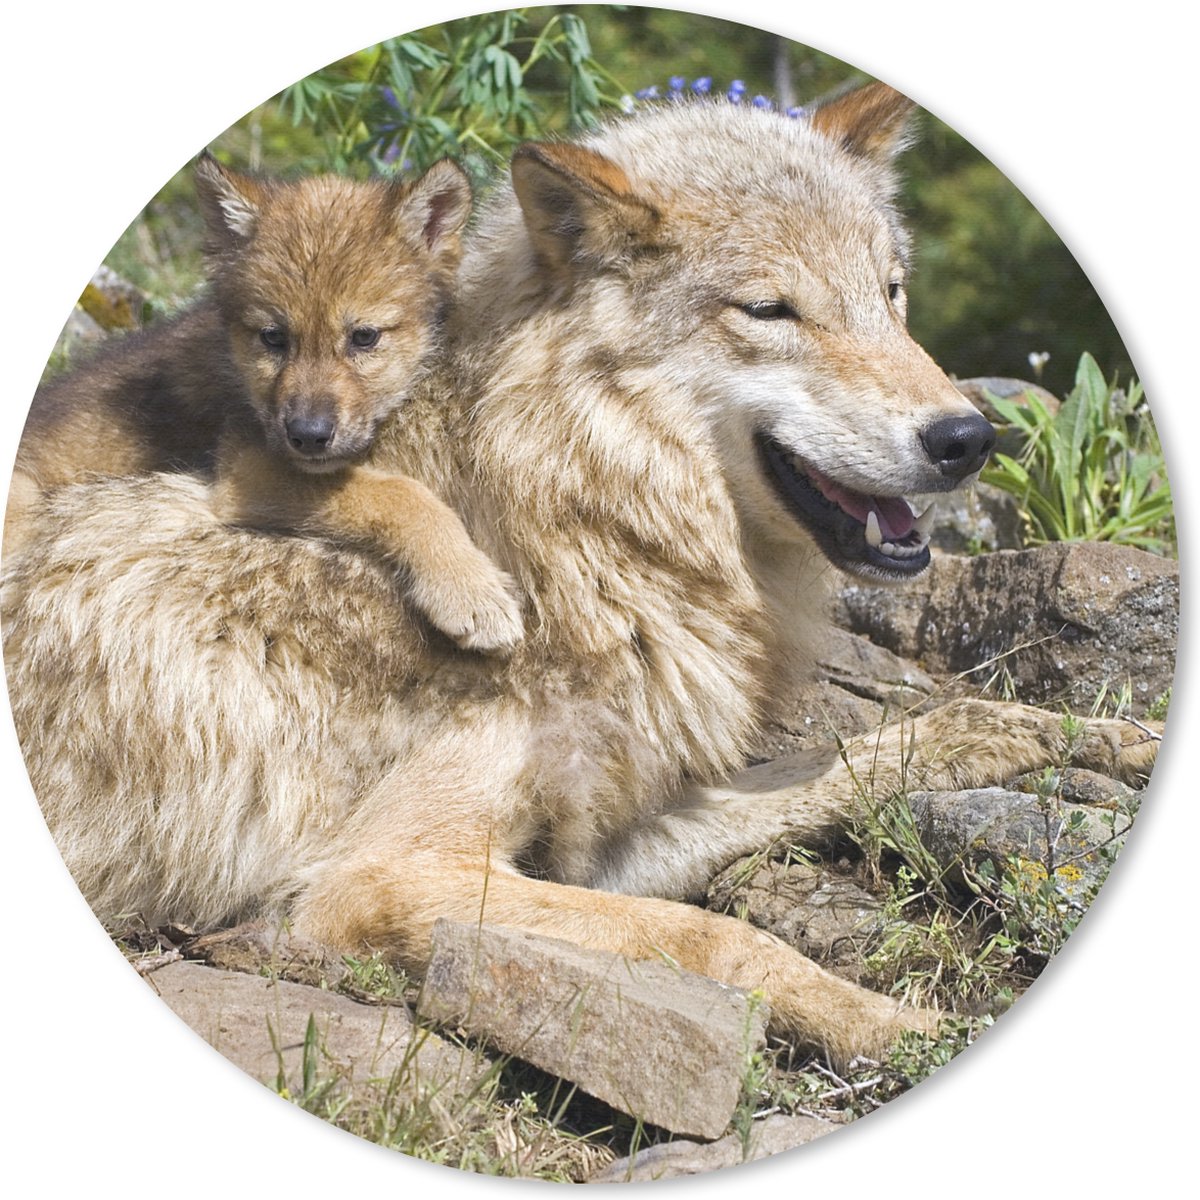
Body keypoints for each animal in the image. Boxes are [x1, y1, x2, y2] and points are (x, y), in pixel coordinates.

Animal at [8, 156, 522, 651]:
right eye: (274, 338)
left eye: (364, 337)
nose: (309, 437)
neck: (234, 374)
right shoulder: (248, 468)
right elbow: (400, 494)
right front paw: (469, 588)